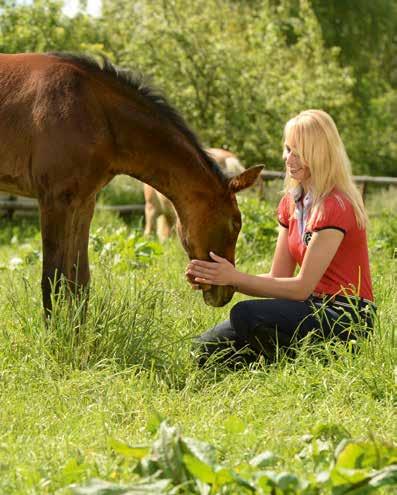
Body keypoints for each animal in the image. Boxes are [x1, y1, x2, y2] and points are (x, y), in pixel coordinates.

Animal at [0, 53, 262, 314]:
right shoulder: (54, 201)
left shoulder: (83, 202)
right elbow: (52, 278)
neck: (93, 110)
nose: (225, 293)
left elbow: (79, 279)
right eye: (235, 224)